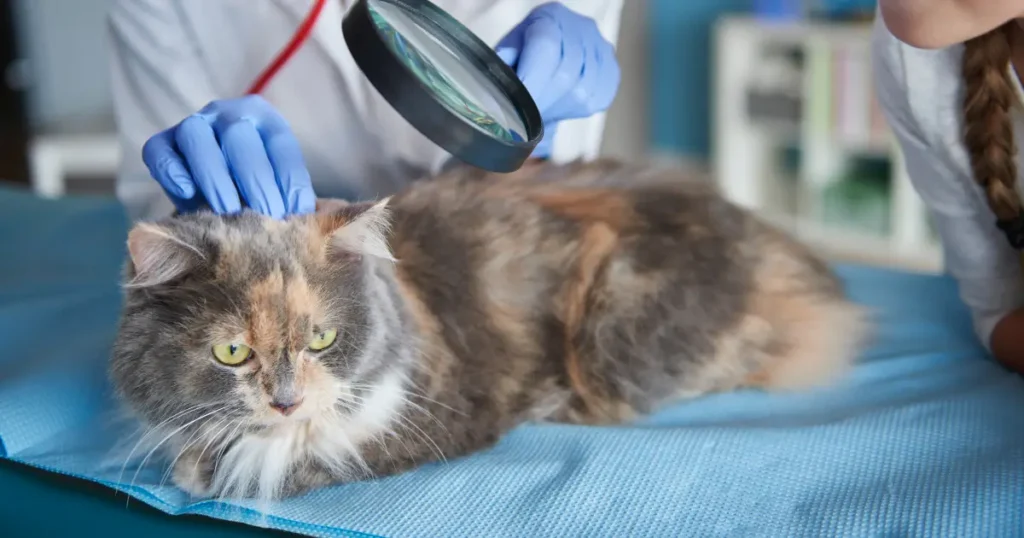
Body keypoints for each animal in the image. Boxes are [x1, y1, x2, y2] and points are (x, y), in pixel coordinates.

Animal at [110, 158, 864, 500]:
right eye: (232, 351)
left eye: (322, 339)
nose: (287, 400)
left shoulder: (430, 418)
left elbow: (291, 460)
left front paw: (206, 471)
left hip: (613, 340)